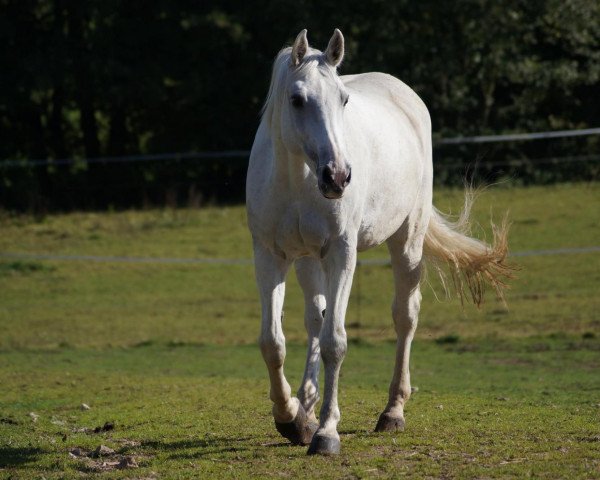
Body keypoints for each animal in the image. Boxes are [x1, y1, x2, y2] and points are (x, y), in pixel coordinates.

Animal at [244, 28, 510, 456]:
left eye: (343, 99)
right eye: (297, 99)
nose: (337, 176)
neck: (297, 178)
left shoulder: (342, 252)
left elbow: (335, 341)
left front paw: (325, 432)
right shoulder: (270, 255)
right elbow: (273, 342)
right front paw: (291, 417)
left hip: (407, 242)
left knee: (405, 316)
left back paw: (392, 411)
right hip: (308, 260)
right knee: (315, 318)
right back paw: (307, 405)